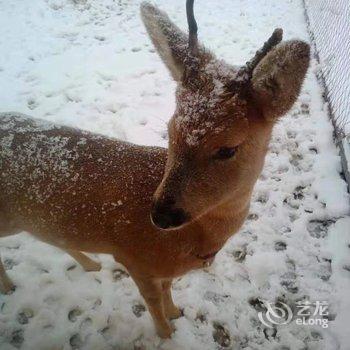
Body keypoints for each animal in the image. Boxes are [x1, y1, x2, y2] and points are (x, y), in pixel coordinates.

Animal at [0, 0, 312, 340]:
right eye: (171, 129)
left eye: (227, 149)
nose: (162, 215)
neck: (191, 241)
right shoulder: (133, 258)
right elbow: (153, 300)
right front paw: (167, 333)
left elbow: (168, 289)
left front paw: (176, 313)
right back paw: (9, 287)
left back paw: (90, 265)